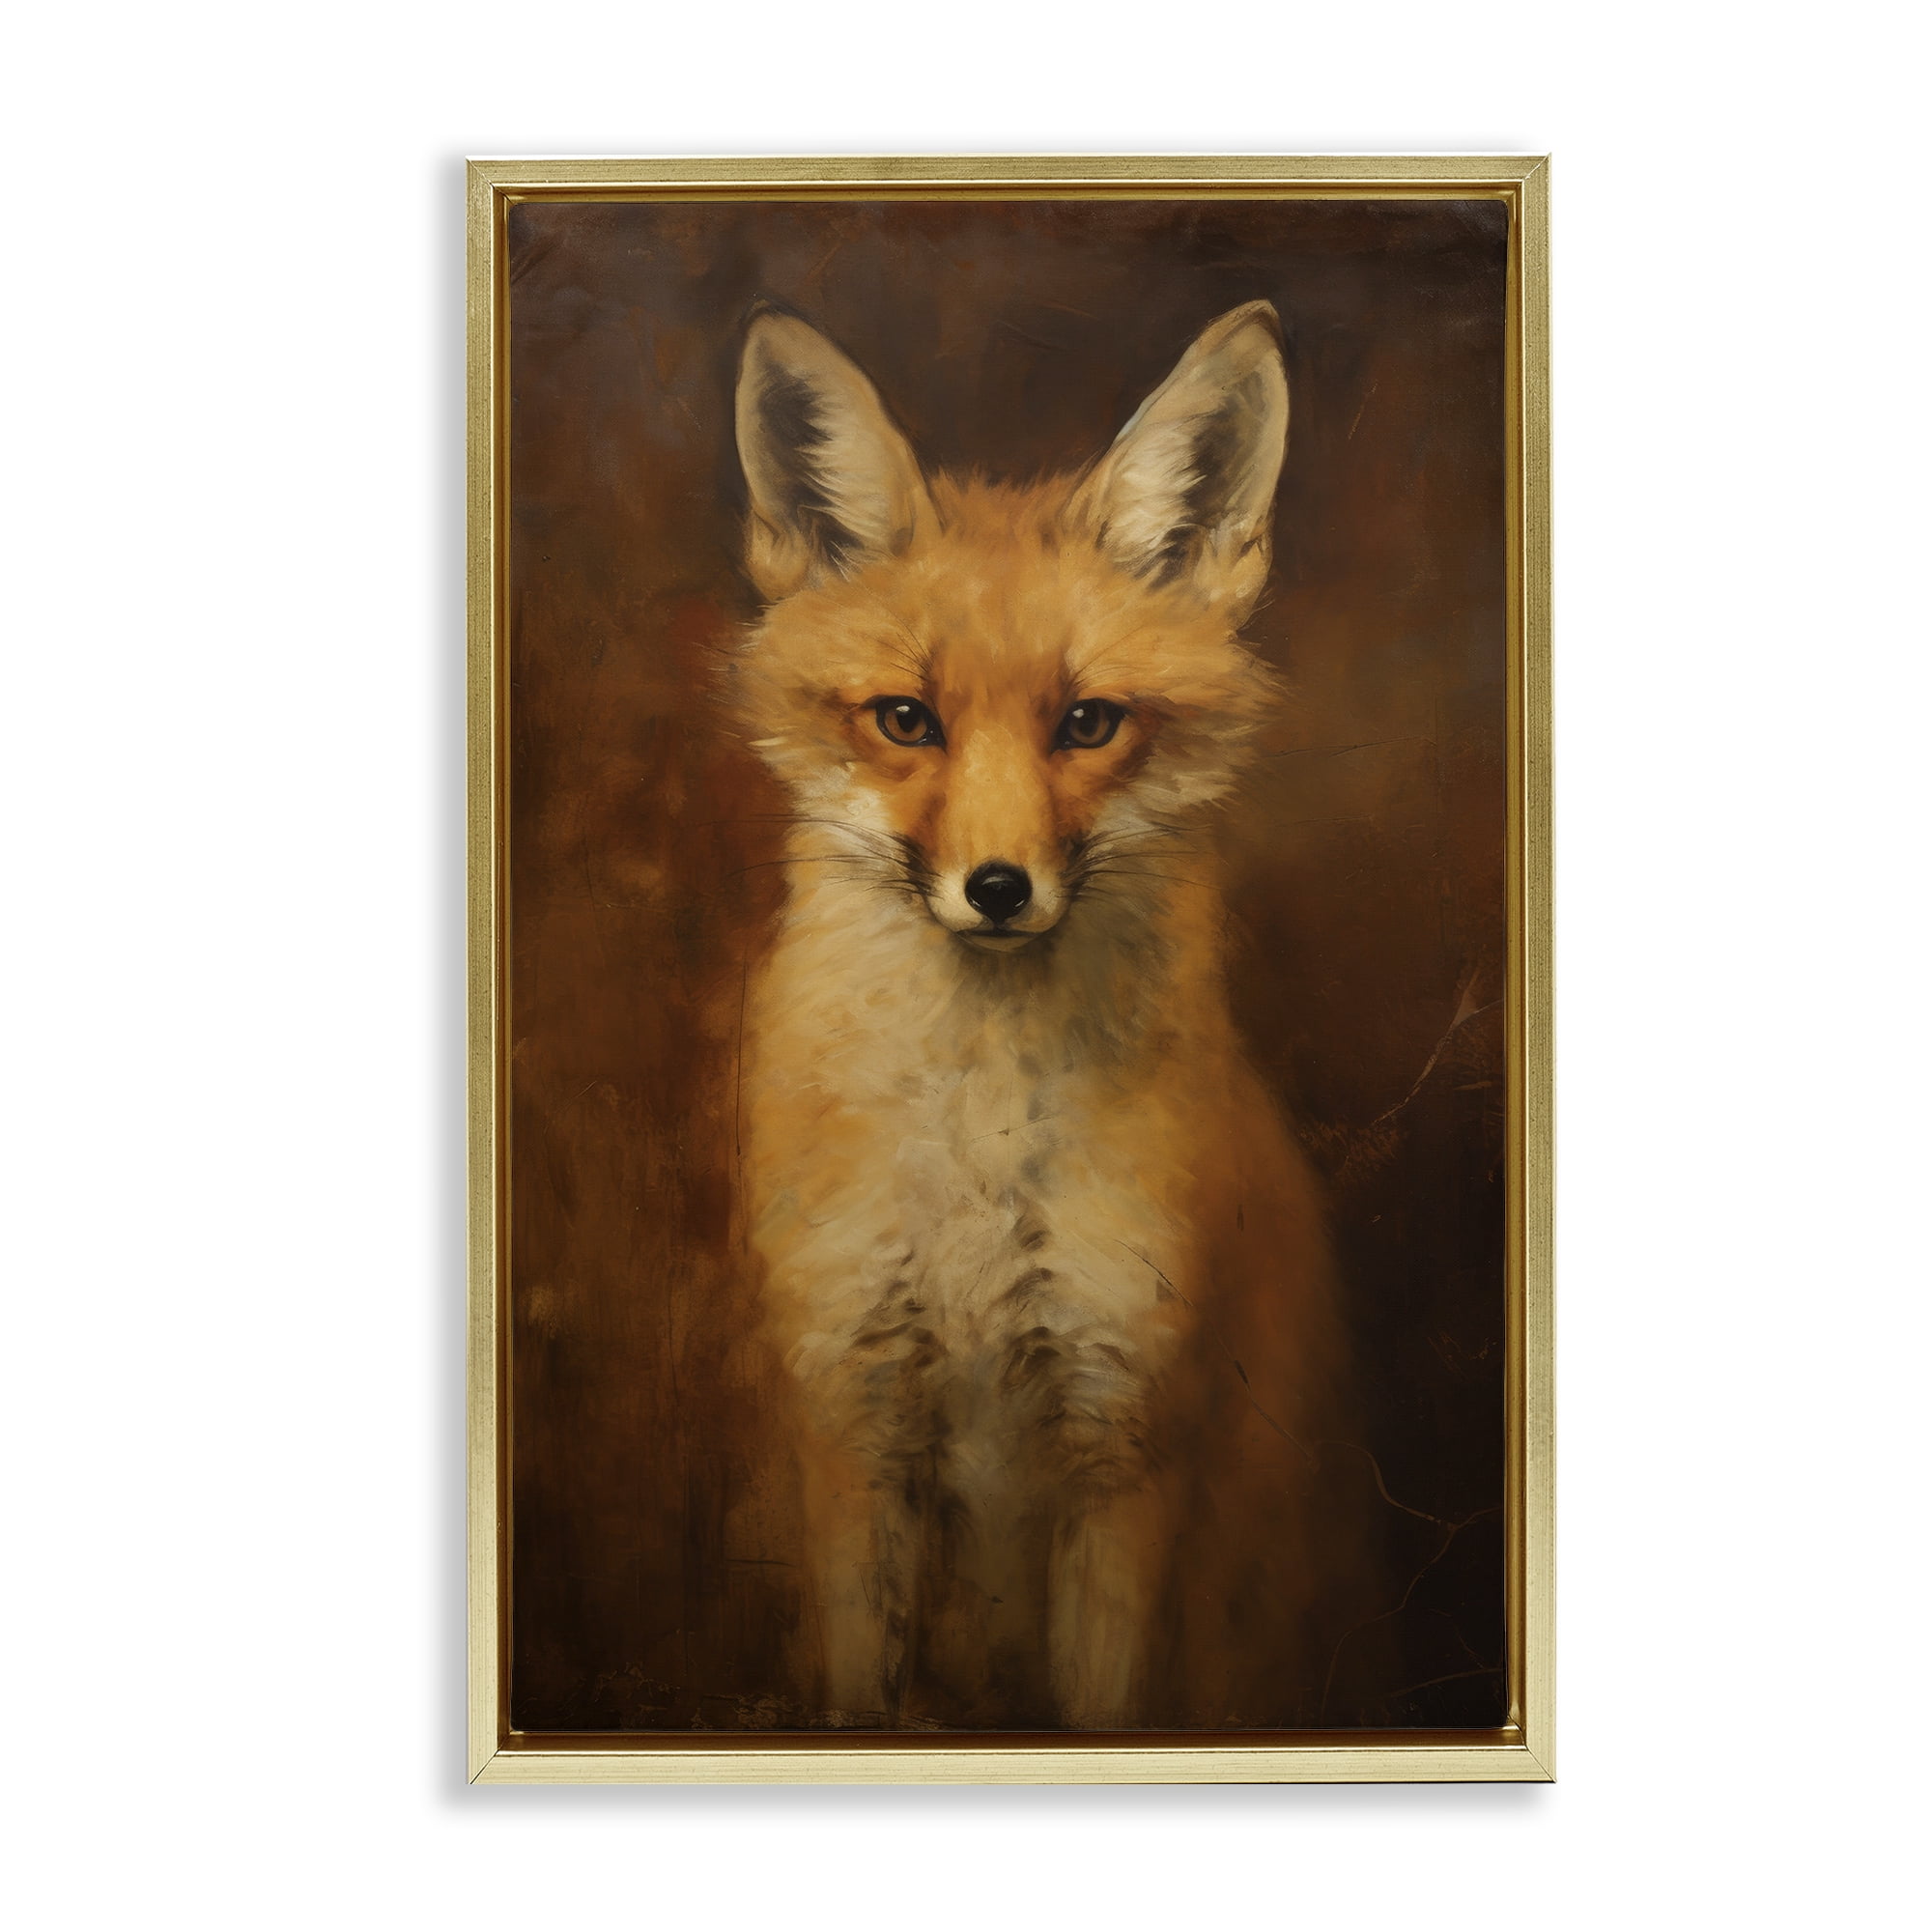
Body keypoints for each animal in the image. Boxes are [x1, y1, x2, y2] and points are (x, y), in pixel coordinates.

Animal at [729, 300, 1356, 1731]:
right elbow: (859, 1704)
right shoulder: (853, 1423)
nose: (1000, 889)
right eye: (907, 718)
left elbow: (1104, 1705)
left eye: (1088, 722)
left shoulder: (1125, 1442)